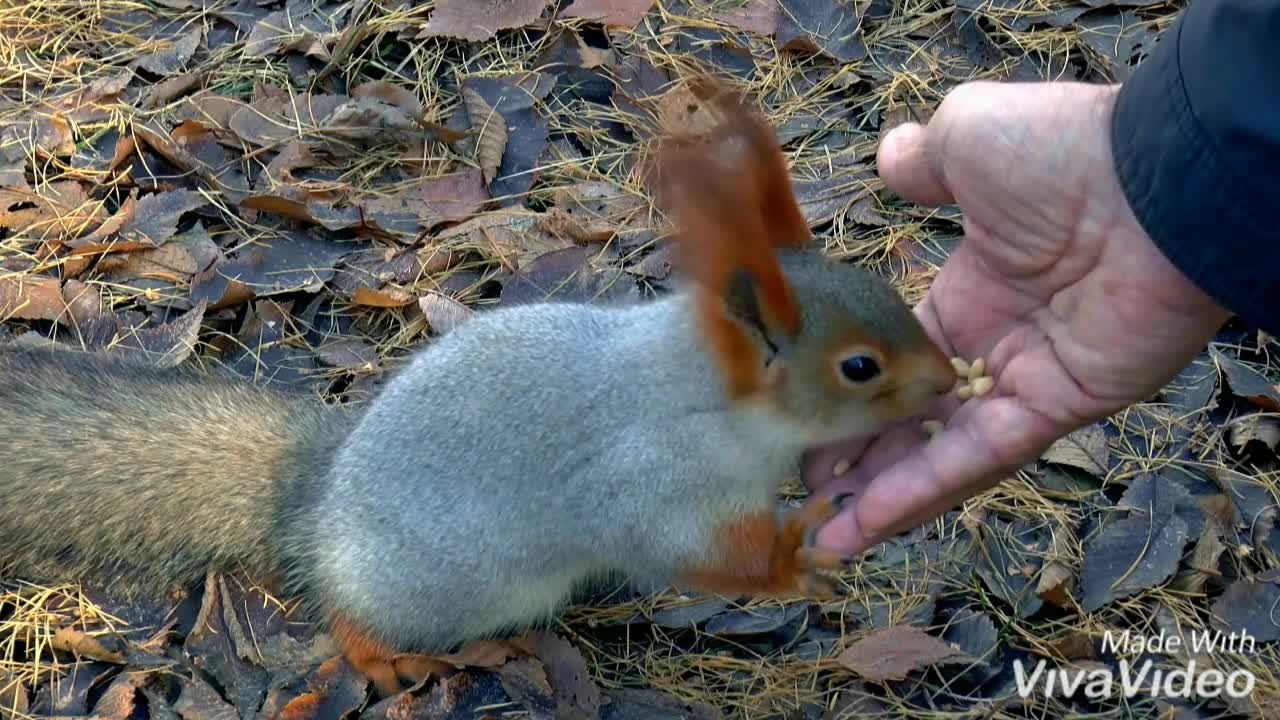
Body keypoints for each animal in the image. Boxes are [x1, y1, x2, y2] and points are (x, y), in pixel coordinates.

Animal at [0, 77, 957, 696]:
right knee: (352, 620)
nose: (951, 382)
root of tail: (315, 503)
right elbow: (692, 554)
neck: (707, 398)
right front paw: (796, 557)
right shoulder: (649, 483)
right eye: (859, 367)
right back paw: (388, 657)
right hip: (437, 587)